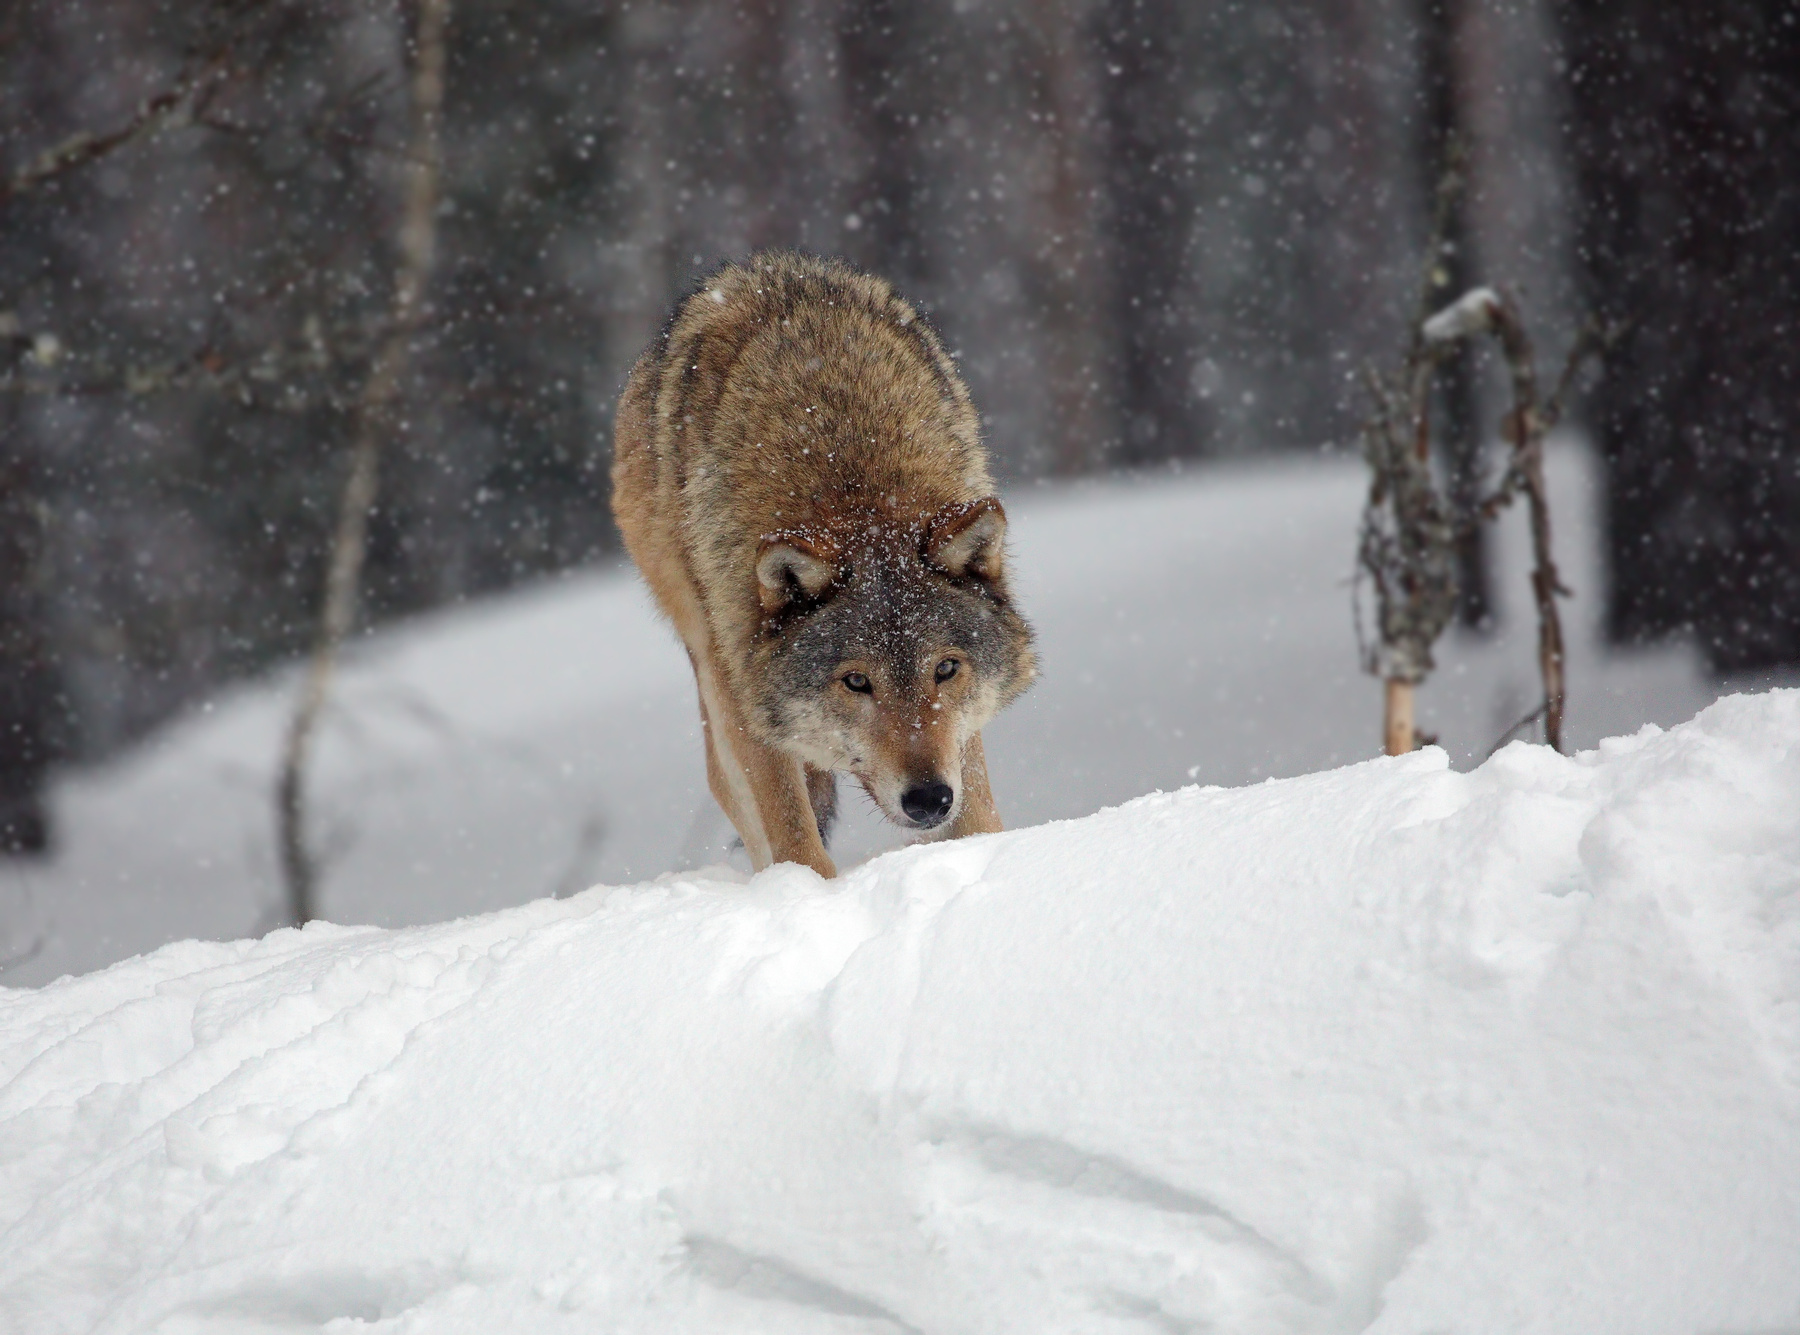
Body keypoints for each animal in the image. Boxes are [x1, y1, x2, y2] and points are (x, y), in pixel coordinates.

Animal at [611, 251, 1037, 879]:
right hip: (705, 656)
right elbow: (793, 835)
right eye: (856, 681)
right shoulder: (742, 687)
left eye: (946, 669)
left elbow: (979, 813)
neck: (850, 474)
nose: (928, 798)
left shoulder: (960, 744)